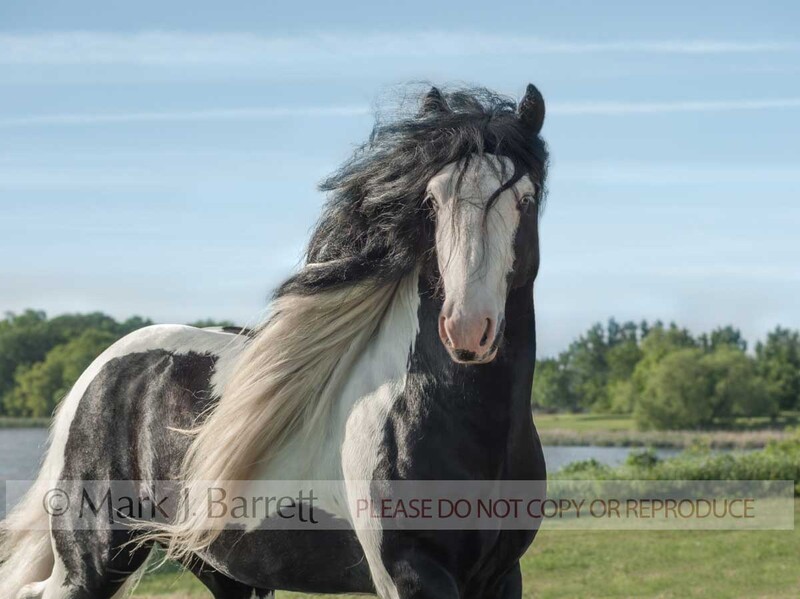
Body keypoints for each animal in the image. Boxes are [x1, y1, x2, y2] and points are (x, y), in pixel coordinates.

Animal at [0, 83, 549, 599]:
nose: (468, 329)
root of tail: (99, 371)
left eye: (525, 200)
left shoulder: (503, 576)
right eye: (431, 202)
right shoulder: (411, 575)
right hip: (91, 559)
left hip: (221, 565)